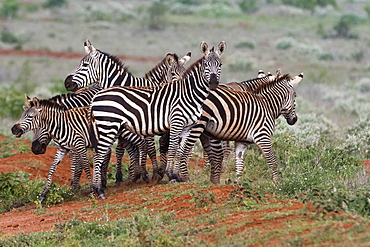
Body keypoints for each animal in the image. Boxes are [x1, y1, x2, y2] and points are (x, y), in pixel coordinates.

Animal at [89, 40, 225, 199]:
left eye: (220, 65)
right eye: (206, 65)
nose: (213, 83)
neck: (189, 94)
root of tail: (96, 96)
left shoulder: (187, 127)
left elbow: (180, 151)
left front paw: (177, 176)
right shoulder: (176, 122)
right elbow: (172, 149)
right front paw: (171, 175)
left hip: (109, 128)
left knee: (98, 154)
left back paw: (96, 189)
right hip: (108, 127)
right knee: (98, 155)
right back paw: (99, 190)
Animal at [176, 72, 304, 184]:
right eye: (295, 96)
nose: (294, 120)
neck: (267, 105)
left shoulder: (241, 141)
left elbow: (239, 162)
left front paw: (237, 184)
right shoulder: (263, 137)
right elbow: (272, 161)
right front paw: (277, 184)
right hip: (196, 127)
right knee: (185, 150)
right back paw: (185, 178)